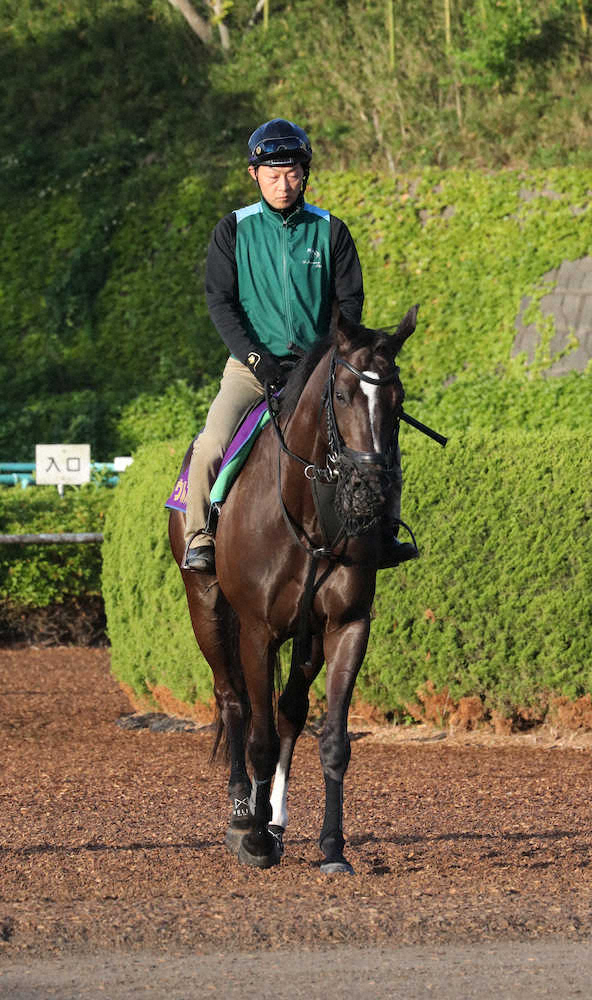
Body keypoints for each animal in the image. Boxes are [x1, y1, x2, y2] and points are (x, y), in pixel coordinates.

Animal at [166, 308, 418, 872]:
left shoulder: (346, 626)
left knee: (289, 712)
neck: (307, 512)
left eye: (398, 401)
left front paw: (332, 846)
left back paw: (276, 820)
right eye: (342, 394)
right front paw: (255, 839)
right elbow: (257, 735)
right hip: (207, 610)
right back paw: (245, 814)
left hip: (307, 641)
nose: (372, 490)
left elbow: (333, 740)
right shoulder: (257, 633)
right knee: (234, 702)